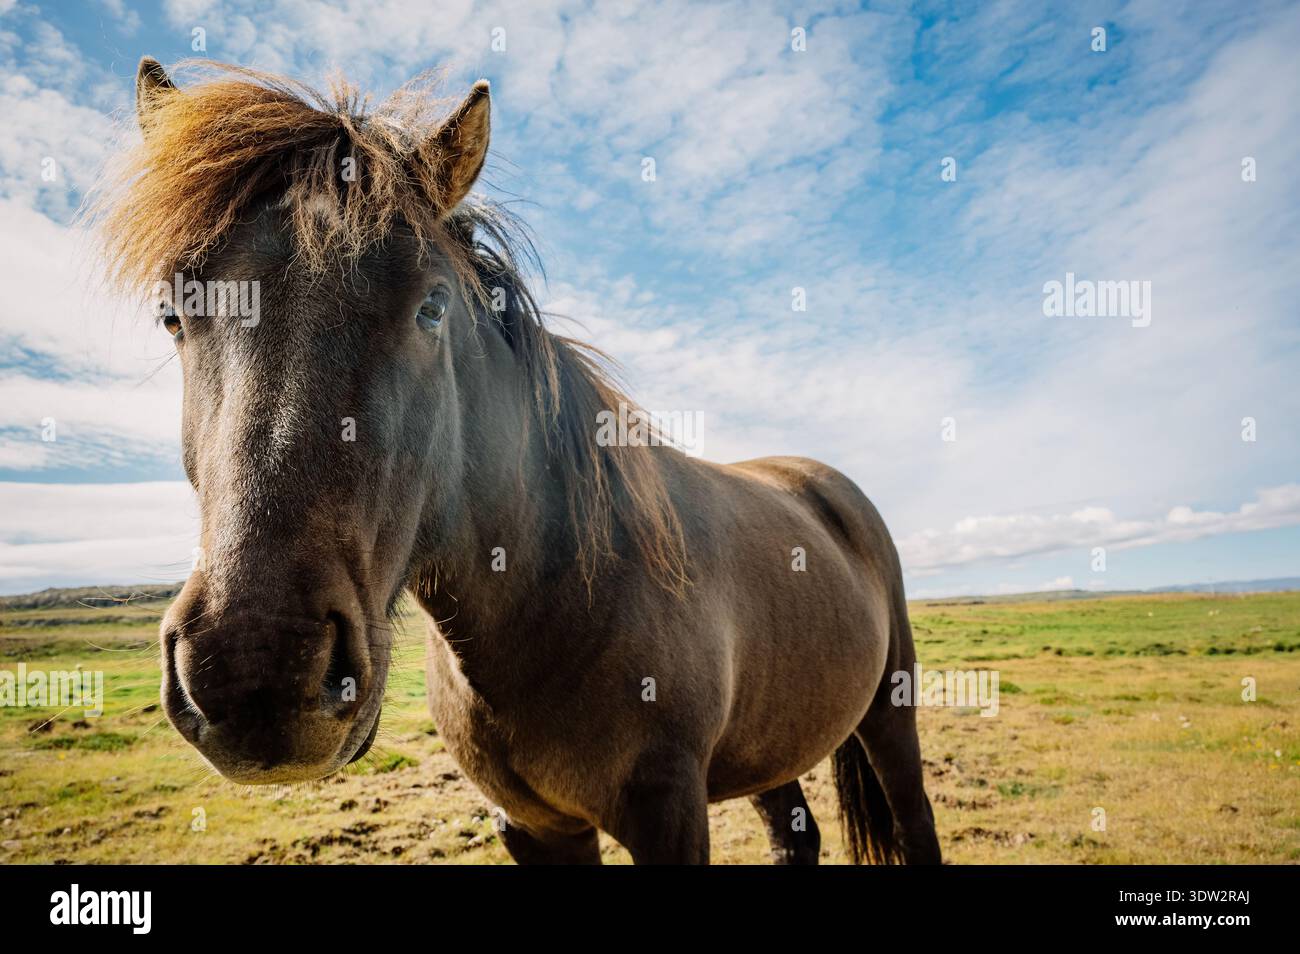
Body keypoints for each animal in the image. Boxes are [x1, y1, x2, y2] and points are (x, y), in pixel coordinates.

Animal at [94, 57, 941, 865]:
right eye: (173, 315)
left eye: (433, 305)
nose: (256, 672)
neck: (557, 593)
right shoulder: (533, 827)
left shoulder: (668, 813)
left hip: (889, 717)